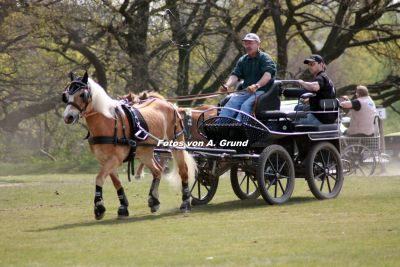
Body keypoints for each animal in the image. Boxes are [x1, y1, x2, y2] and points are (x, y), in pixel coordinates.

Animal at [62, 71, 197, 220]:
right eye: (66, 95)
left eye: (82, 94)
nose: (68, 117)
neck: (107, 122)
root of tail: (170, 105)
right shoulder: (104, 160)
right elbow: (116, 182)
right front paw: (123, 207)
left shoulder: (114, 159)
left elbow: (99, 178)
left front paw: (99, 207)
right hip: (145, 153)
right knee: (157, 170)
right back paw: (154, 200)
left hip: (176, 145)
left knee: (183, 171)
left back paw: (185, 202)